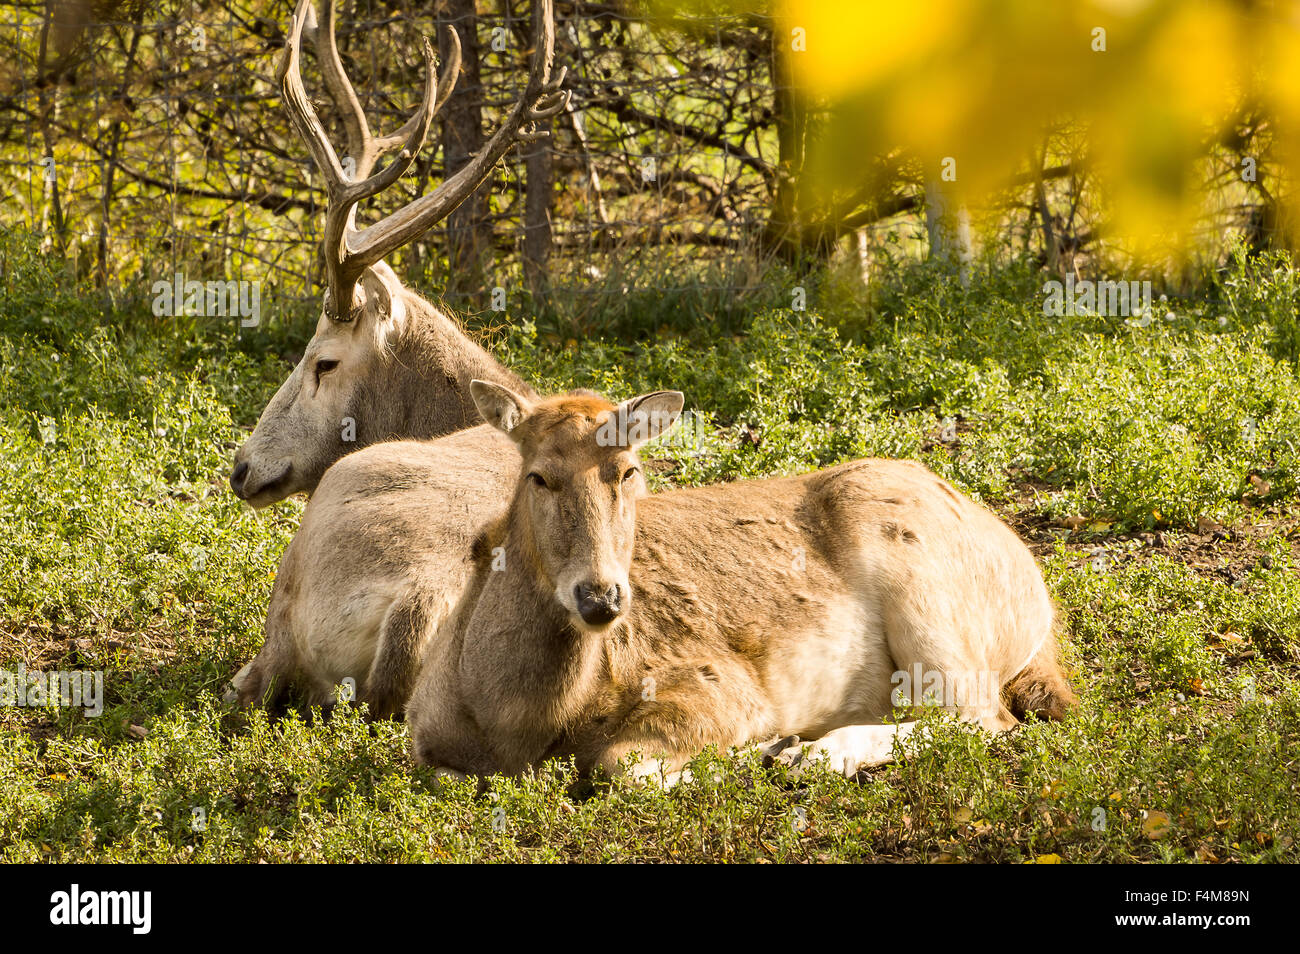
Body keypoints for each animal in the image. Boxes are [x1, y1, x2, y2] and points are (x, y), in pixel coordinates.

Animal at [408, 387, 1076, 785]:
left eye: (629, 470)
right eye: (538, 477)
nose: (601, 597)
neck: (514, 723)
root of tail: (1032, 580)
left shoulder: (720, 684)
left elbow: (618, 768)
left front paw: (761, 751)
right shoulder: (424, 744)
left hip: (927, 594)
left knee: (984, 716)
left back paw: (814, 752)